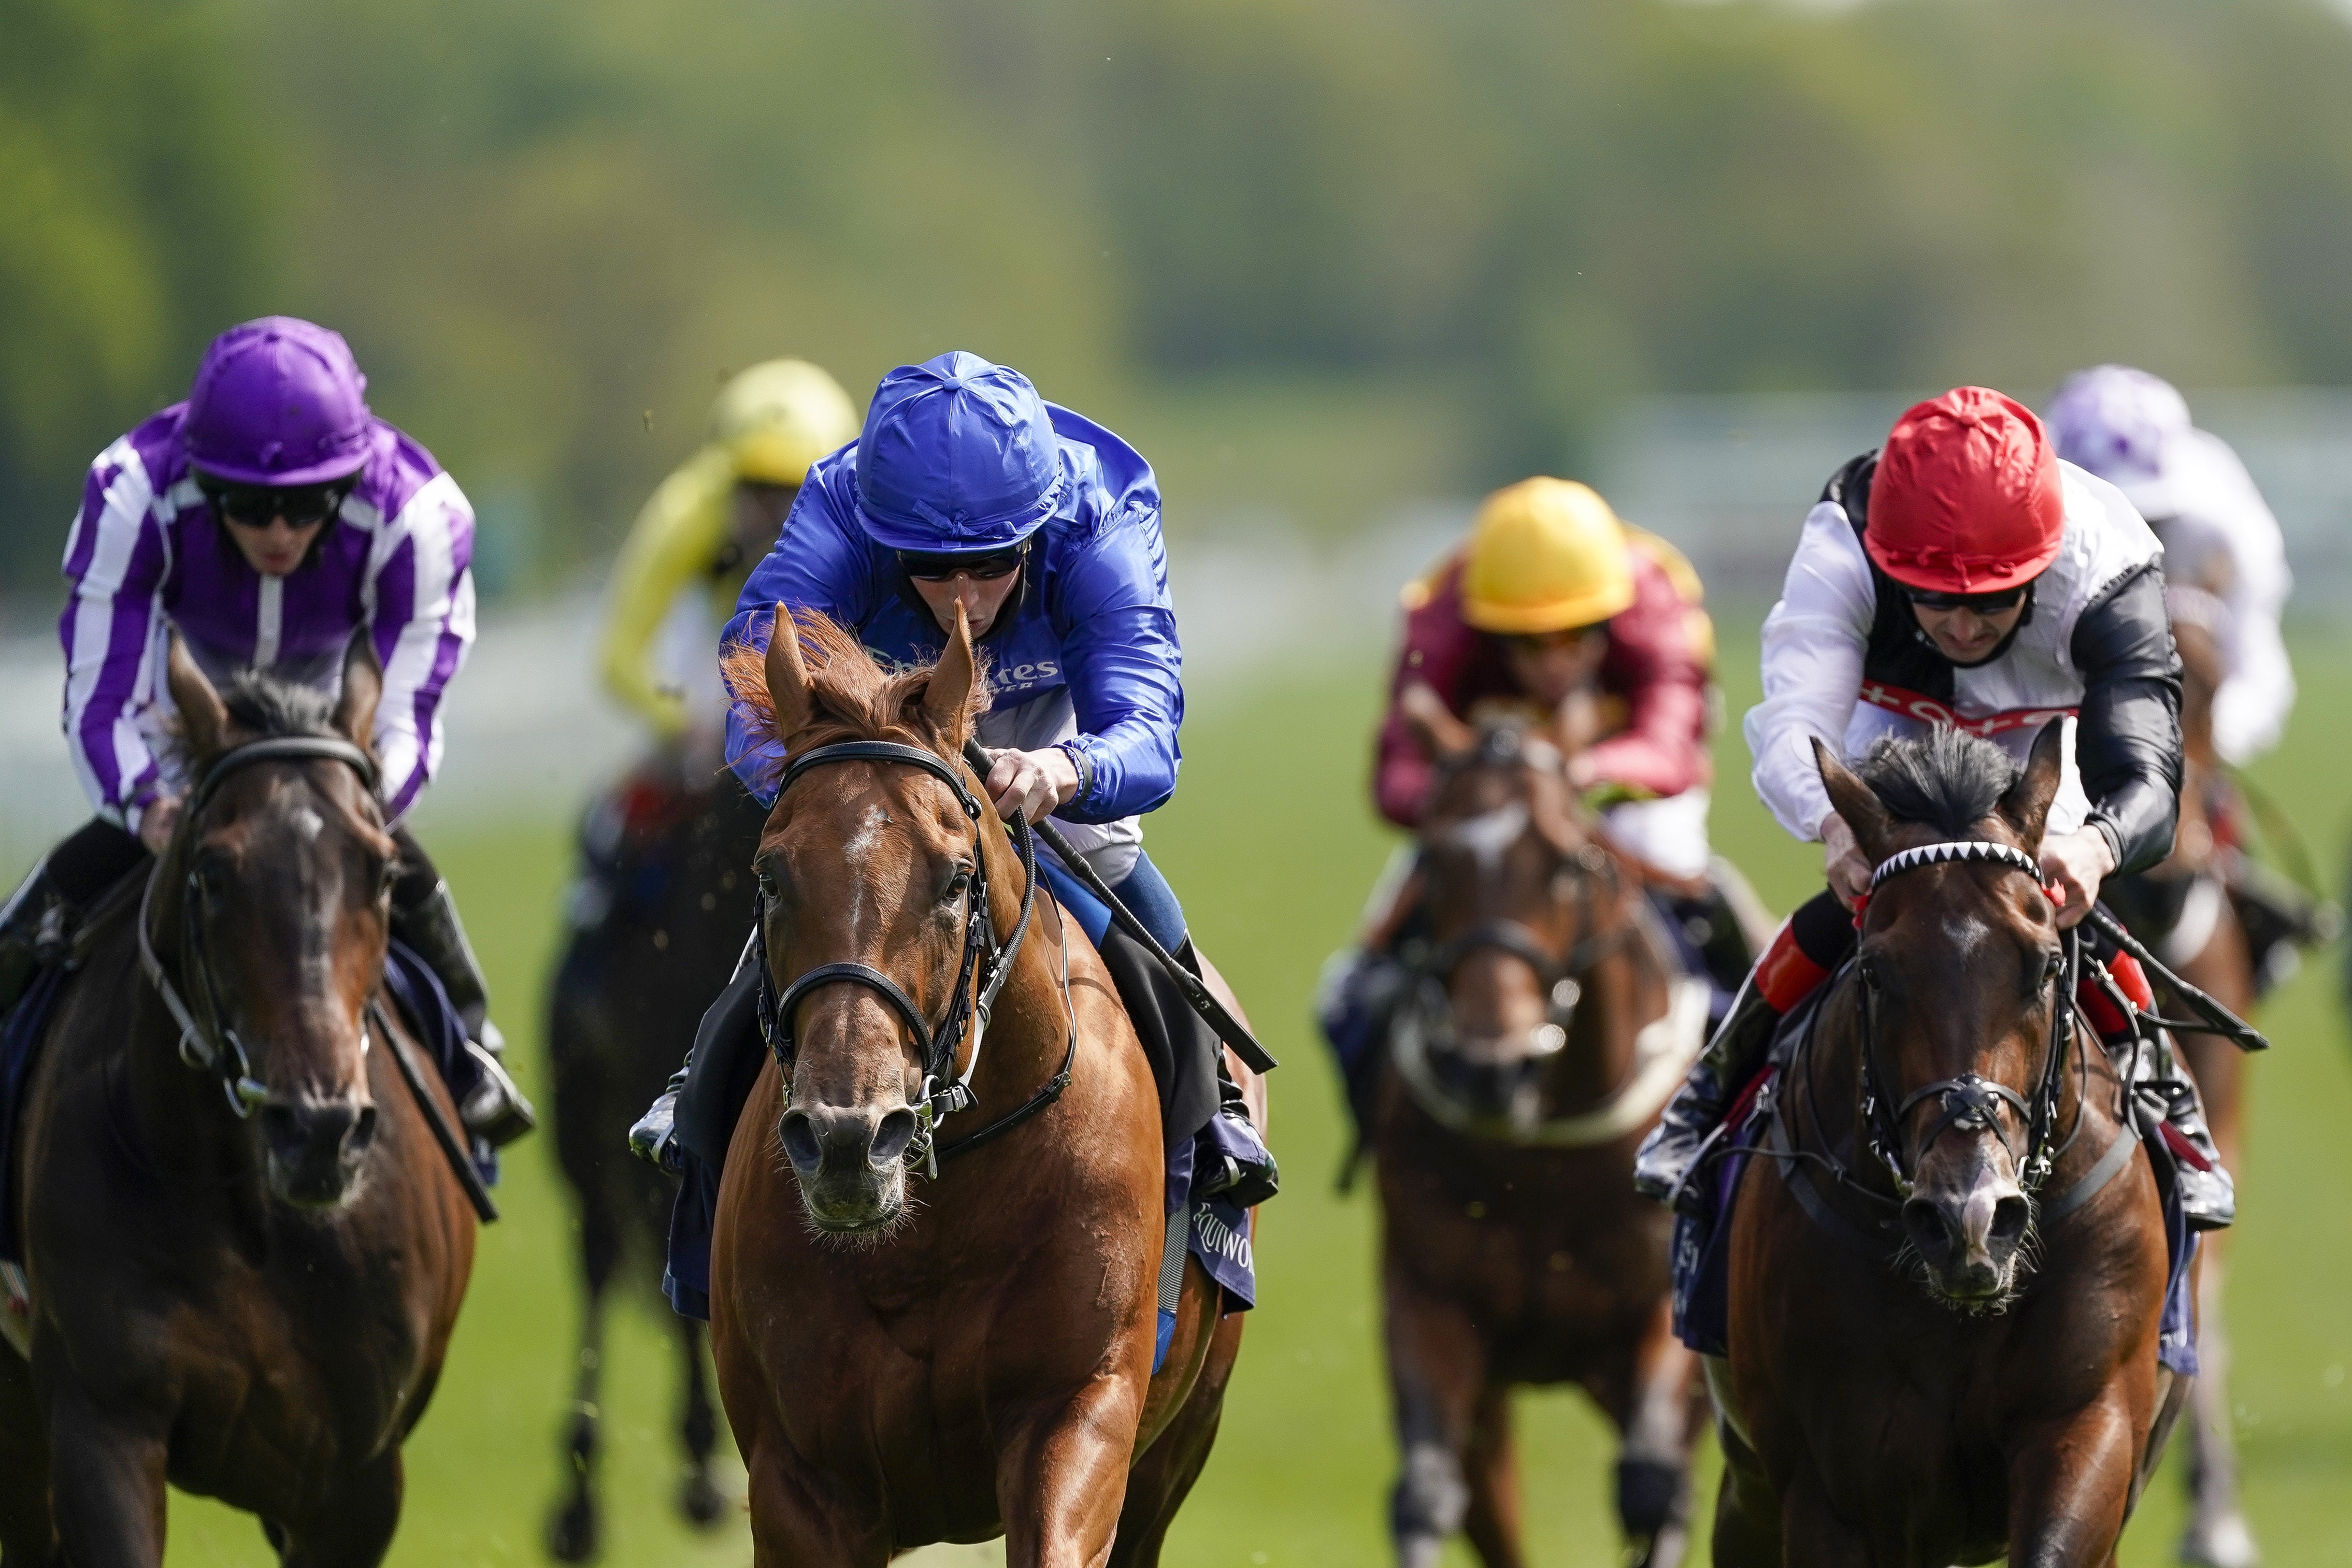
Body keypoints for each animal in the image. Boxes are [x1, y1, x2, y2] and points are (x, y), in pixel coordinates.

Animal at [0, 639, 477, 1568]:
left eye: (383, 872)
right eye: (213, 874)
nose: (320, 1130)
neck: (251, 1210)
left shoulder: (356, 1479)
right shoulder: (101, 1422)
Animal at [706, 606, 1261, 1568]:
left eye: (956, 877)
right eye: (770, 876)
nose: (849, 1139)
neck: (942, 1219)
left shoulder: (1078, 1415)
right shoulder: (801, 1481)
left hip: (1178, 1444)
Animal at [1364, 700, 1712, 1568]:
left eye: (1566, 864)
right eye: (1435, 859)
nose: (1491, 1068)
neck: (1548, 1161)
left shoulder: (1663, 1306)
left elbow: (1651, 1483)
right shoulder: (1429, 1297)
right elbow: (1426, 1493)